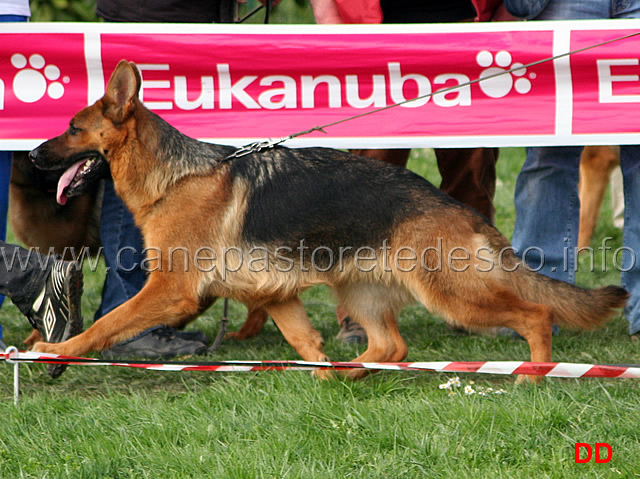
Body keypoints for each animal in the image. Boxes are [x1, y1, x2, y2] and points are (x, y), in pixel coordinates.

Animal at [32, 61, 628, 382]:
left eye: (72, 127)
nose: (35, 156)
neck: (175, 177)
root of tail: (459, 209)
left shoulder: (171, 292)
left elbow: (106, 324)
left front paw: (58, 349)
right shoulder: (276, 296)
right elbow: (303, 341)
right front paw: (318, 368)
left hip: (453, 296)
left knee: (534, 315)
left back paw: (536, 374)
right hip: (360, 293)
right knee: (393, 349)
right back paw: (348, 373)